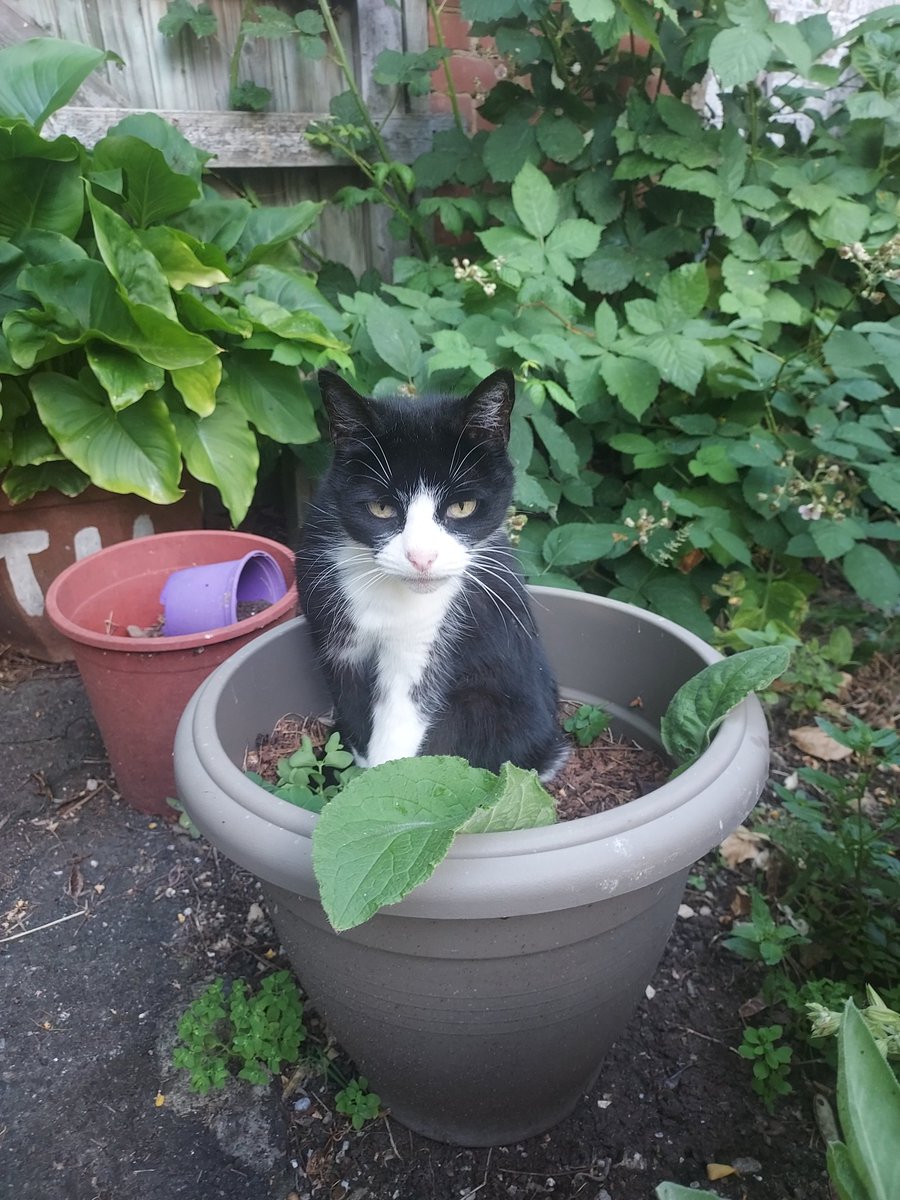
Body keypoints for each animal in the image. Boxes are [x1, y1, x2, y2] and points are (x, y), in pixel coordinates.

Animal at [300, 372, 571, 777]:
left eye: (462, 506)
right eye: (381, 508)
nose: (421, 557)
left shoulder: (431, 632)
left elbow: (402, 717)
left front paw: (382, 781)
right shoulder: (332, 628)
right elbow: (352, 705)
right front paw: (355, 767)